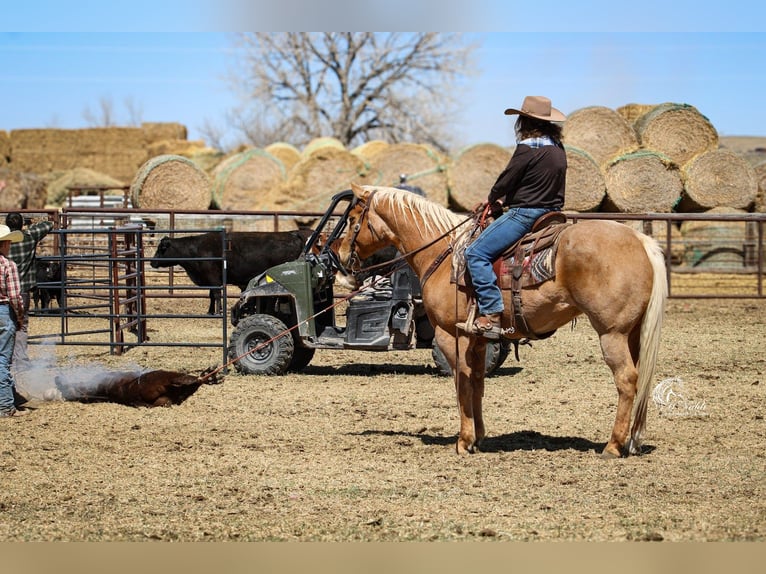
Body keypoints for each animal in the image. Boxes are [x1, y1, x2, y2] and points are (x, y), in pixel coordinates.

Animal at [338, 183, 667, 458]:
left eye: (353, 219)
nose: (340, 256)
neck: (442, 254)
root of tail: (639, 240)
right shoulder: (479, 338)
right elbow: (477, 382)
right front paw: (479, 436)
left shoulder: (449, 335)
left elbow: (461, 382)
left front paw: (464, 441)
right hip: (633, 333)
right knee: (640, 378)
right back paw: (632, 440)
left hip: (611, 333)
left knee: (626, 379)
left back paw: (613, 445)